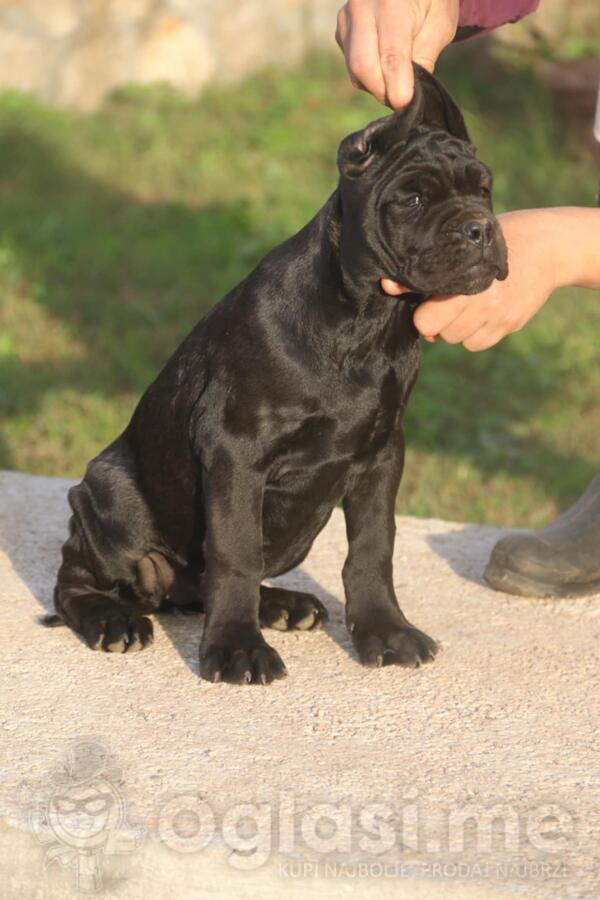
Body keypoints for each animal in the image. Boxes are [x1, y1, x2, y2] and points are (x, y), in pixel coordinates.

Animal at [48, 65, 506, 684]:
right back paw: (113, 620)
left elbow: (373, 547)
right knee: (76, 578)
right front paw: (236, 649)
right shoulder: (237, 451)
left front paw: (386, 631)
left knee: (203, 586)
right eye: (411, 199)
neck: (367, 320)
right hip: (109, 494)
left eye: (483, 189)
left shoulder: (383, 452)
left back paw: (283, 605)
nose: (480, 228)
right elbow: (237, 553)